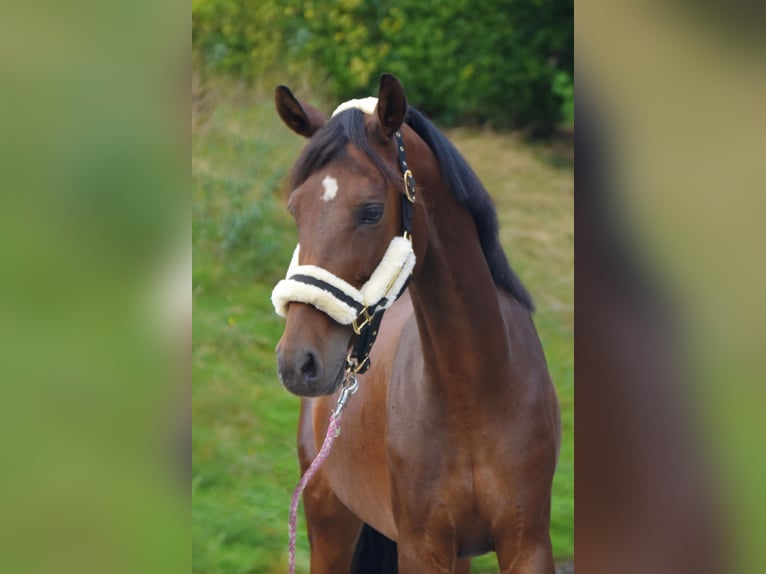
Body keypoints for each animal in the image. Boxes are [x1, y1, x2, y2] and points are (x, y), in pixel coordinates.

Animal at [272, 74, 560, 572]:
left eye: (370, 211)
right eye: (296, 209)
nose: (297, 362)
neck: (475, 388)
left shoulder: (527, 545)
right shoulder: (421, 546)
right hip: (328, 520)